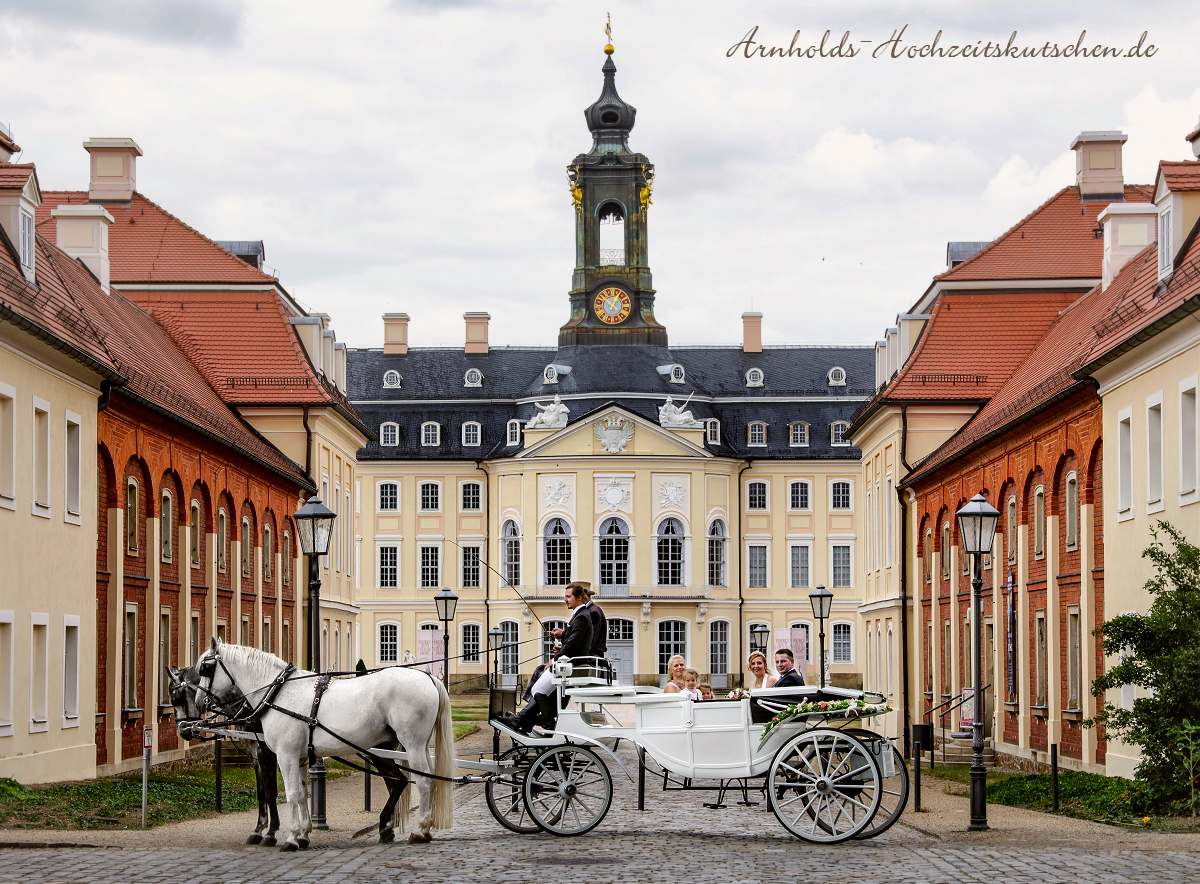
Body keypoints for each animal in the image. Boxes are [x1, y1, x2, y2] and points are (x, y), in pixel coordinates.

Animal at [196, 638, 453, 854]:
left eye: (205, 669)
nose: (199, 703)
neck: (279, 694)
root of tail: (428, 677)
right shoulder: (298, 758)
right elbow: (302, 794)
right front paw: (302, 835)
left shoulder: (285, 756)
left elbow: (290, 794)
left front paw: (290, 837)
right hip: (407, 747)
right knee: (406, 780)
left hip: (412, 745)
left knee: (423, 781)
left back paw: (419, 830)